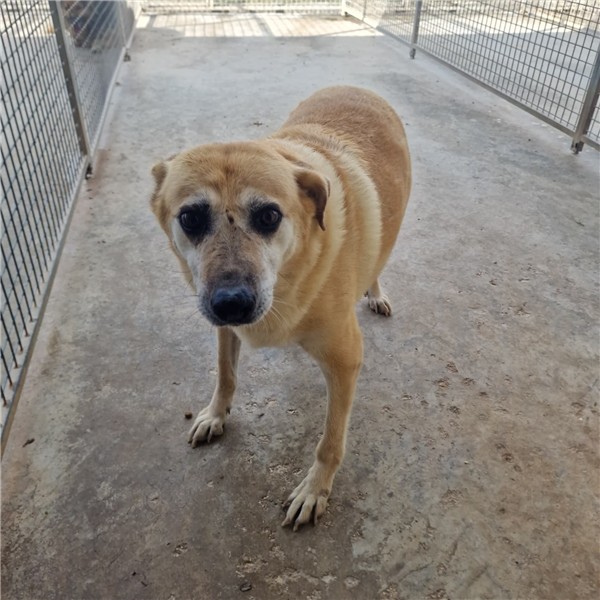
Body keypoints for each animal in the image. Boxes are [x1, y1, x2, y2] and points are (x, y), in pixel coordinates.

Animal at [150, 86, 411, 530]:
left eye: (270, 215)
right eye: (190, 218)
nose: (232, 303)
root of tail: (358, 88)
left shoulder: (345, 361)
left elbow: (330, 441)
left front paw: (314, 490)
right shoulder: (225, 329)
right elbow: (226, 374)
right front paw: (216, 414)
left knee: (378, 262)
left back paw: (375, 291)